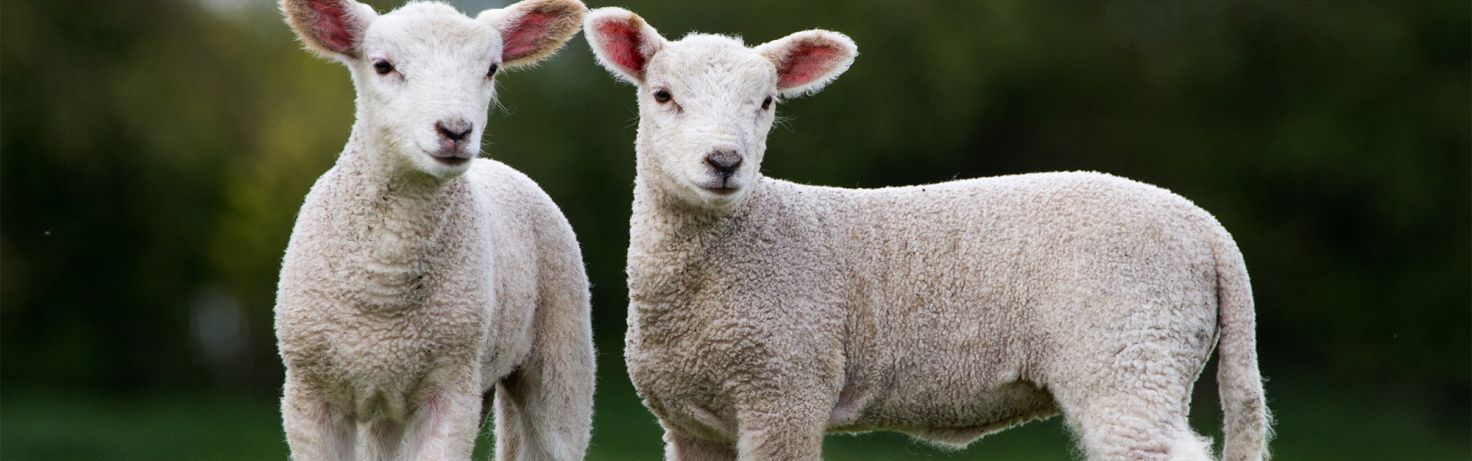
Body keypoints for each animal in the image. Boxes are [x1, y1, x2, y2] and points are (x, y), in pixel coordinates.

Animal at [273, 1, 593, 459]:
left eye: (492, 69)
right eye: (383, 66)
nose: (456, 130)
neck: (385, 284)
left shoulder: (451, 388)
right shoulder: (309, 393)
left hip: (561, 352)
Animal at [585, 7, 1272, 461]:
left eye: (768, 102)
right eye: (662, 95)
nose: (725, 162)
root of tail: (1208, 228)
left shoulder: (786, 390)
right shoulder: (695, 424)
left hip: (1129, 349)